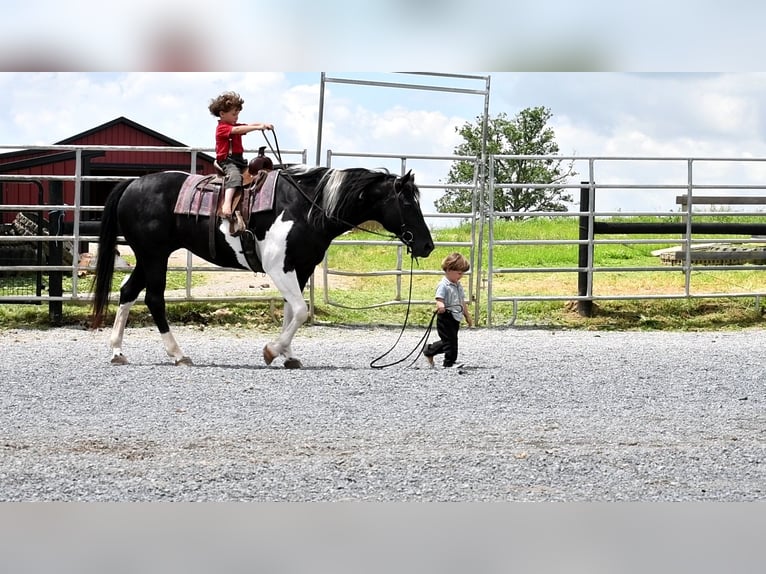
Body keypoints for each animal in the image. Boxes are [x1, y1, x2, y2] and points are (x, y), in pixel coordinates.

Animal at [91, 168, 432, 368]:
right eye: (407, 203)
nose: (427, 245)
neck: (307, 207)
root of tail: (132, 183)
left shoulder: (300, 267)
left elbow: (292, 312)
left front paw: (288, 355)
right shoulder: (278, 267)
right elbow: (301, 310)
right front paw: (272, 350)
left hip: (149, 256)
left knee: (127, 292)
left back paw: (117, 352)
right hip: (154, 256)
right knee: (154, 299)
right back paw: (178, 354)